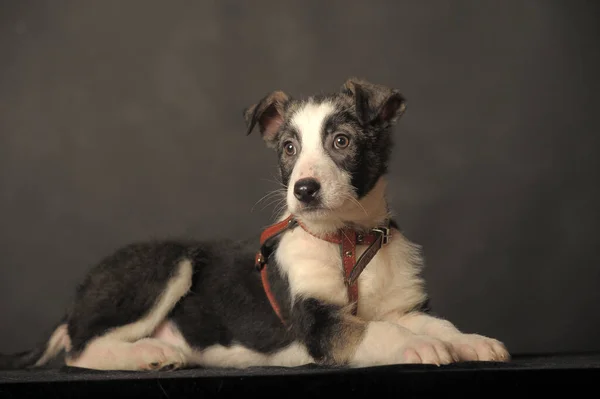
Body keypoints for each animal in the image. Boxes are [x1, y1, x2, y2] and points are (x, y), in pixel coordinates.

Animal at [0, 77, 508, 372]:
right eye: (288, 148)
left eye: (342, 141)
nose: (304, 190)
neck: (347, 237)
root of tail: (78, 300)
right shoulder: (319, 326)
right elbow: (382, 332)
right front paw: (418, 349)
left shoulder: (403, 307)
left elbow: (437, 325)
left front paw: (473, 342)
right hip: (167, 261)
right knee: (79, 350)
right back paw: (148, 355)